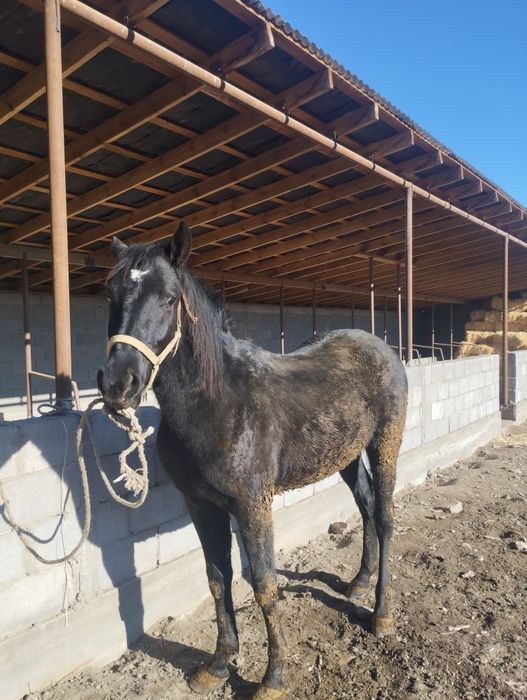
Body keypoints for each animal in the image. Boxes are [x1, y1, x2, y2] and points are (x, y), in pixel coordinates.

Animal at [98, 222, 408, 699]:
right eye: (111, 294)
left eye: (169, 297)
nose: (118, 384)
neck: (217, 401)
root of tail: (380, 346)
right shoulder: (200, 506)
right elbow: (216, 578)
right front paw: (218, 664)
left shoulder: (251, 504)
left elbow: (263, 583)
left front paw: (273, 676)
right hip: (346, 455)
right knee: (367, 505)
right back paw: (357, 583)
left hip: (384, 442)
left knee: (387, 515)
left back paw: (382, 614)